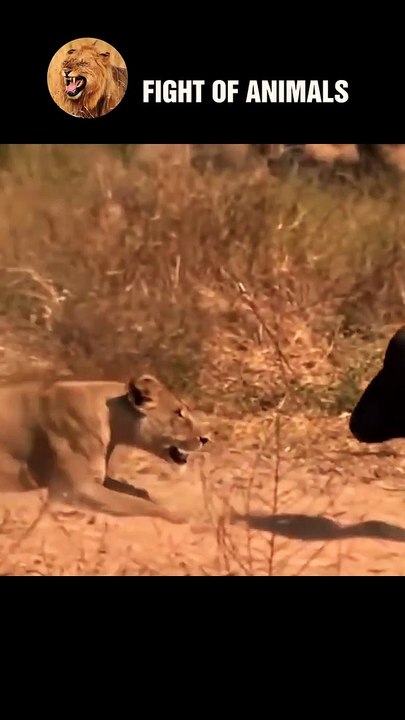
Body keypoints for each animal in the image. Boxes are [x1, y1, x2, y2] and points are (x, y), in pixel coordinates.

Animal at [0, 374, 209, 524]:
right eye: (179, 413)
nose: (206, 438)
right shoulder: (78, 488)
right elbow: (139, 504)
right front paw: (186, 518)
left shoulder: (99, 478)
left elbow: (139, 492)